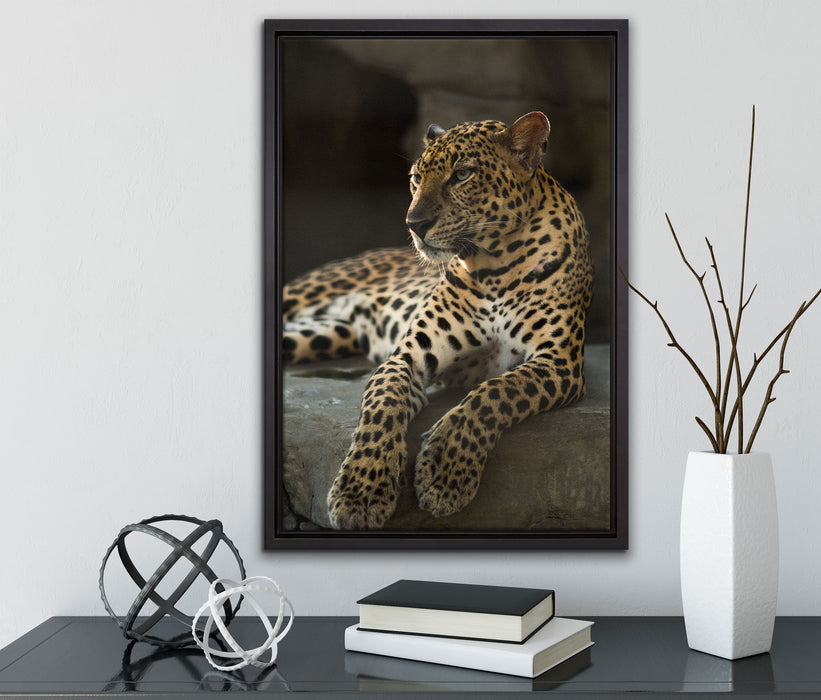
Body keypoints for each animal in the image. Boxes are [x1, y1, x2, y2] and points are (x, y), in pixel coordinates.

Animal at [282, 111, 593, 530]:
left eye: (462, 175)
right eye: (416, 178)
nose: (415, 224)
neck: (495, 264)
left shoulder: (559, 362)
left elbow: (495, 393)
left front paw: (446, 471)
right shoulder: (407, 357)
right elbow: (383, 404)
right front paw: (361, 491)